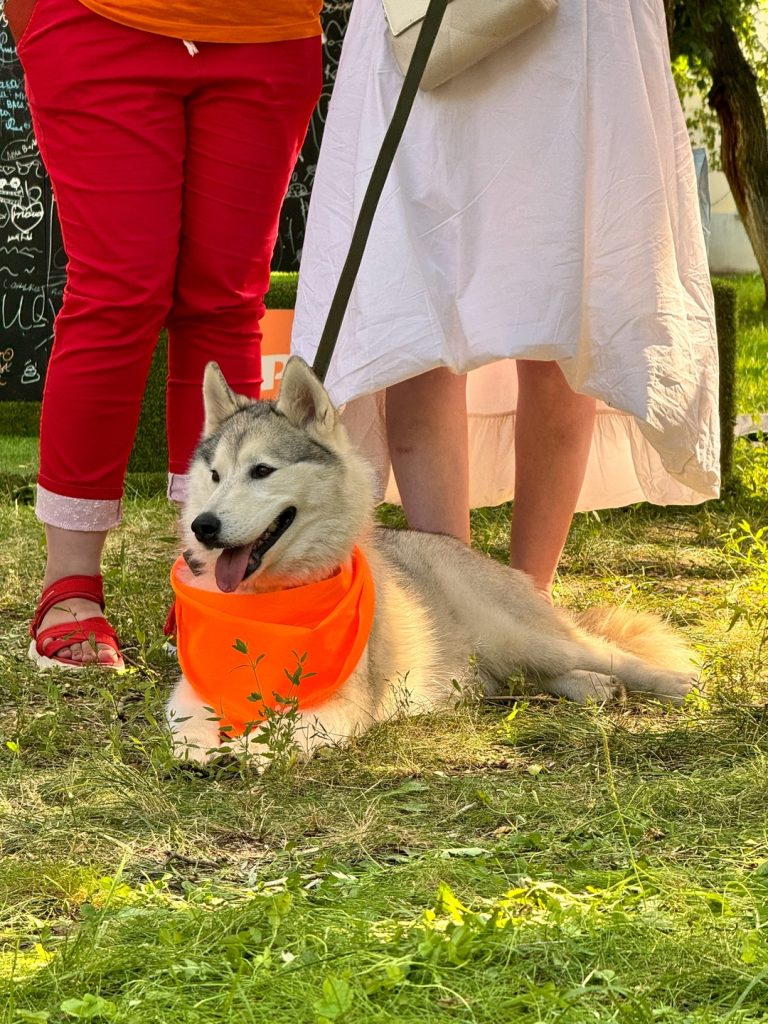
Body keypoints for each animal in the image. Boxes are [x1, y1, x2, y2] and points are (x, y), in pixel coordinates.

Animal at [166, 357, 698, 765]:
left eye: (262, 471)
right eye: (214, 475)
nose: (204, 526)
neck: (274, 599)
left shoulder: (347, 703)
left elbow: (287, 724)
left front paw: (252, 748)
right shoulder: (192, 686)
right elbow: (184, 719)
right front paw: (196, 749)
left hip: (521, 633)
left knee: (607, 652)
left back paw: (672, 682)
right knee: (533, 677)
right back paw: (592, 687)